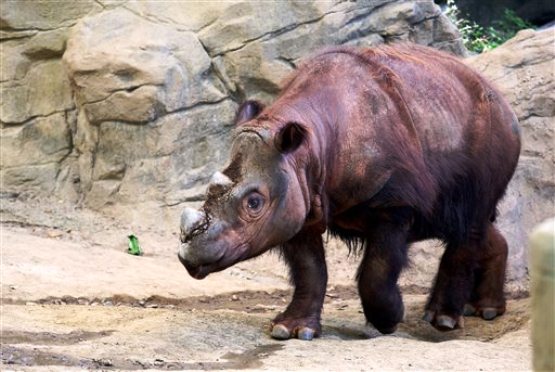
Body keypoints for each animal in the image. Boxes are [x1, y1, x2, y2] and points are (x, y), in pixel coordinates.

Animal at [178, 43, 520, 340]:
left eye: (254, 202)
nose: (189, 258)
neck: (309, 147)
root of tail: (505, 103)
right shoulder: (298, 200)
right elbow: (310, 269)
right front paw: (291, 330)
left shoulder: (394, 203)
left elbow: (377, 270)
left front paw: (389, 319)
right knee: (473, 224)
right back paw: (485, 310)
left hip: (494, 133)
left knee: (471, 217)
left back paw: (444, 320)